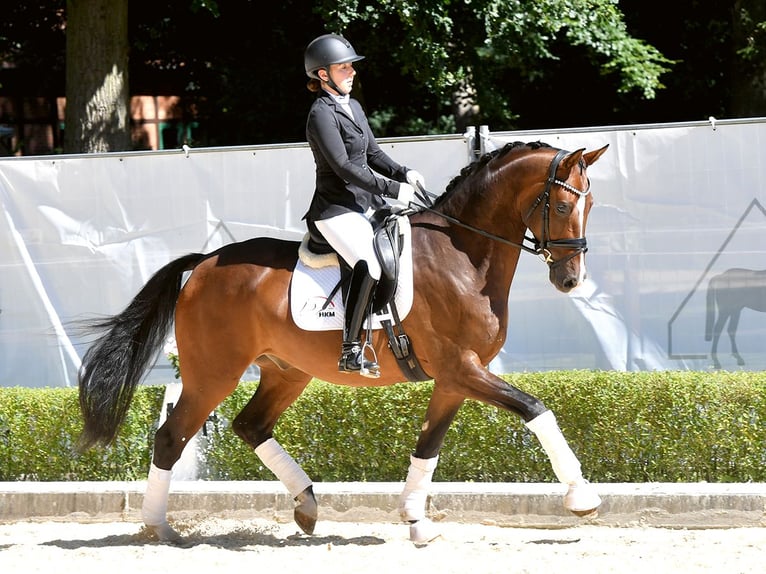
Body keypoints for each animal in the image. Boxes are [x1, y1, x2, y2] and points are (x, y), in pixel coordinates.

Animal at [76, 140, 608, 544]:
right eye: (562, 205)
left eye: (591, 206)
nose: (571, 279)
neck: (463, 255)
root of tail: (204, 263)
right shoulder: (462, 368)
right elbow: (538, 409)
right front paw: (582, 496)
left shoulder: (455, 379)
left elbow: (428, 447)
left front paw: (416, 522)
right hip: (214, 373)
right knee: (172, 437)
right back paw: (158, 527)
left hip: (286, 371)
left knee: (250, 425)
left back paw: (307, 506)